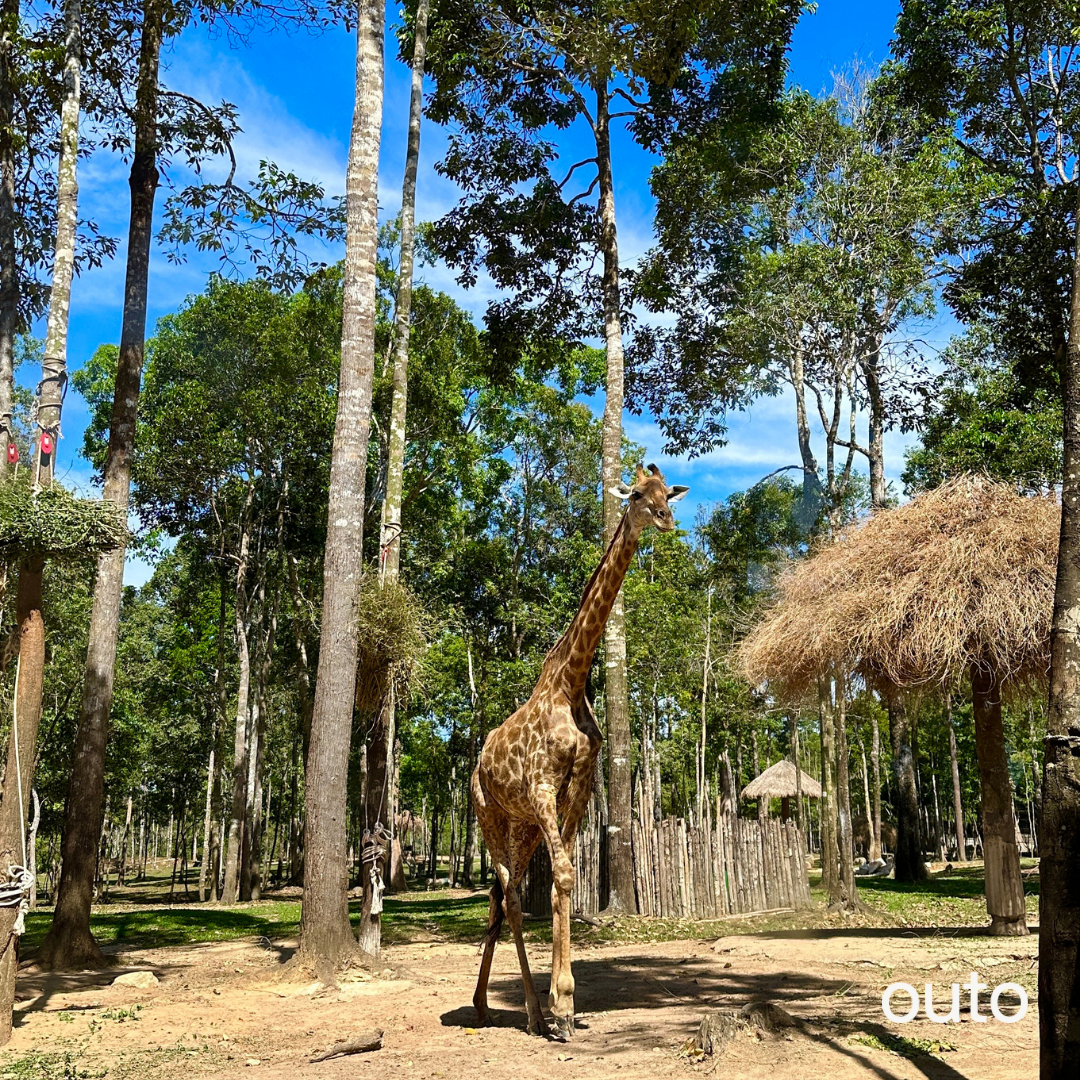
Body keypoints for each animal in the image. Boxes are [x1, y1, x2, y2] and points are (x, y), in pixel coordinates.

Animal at [473, 462, 691, 1036]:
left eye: (668, 491)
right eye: (635, 494)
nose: (665, 518)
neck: (572, 683)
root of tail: (477, 762)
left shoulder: (578, 790)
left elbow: (562, 881)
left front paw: (564, 1003)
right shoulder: (543, 786)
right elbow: (567, 877)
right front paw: (563, 1006)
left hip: (522, 827)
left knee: (501, 896)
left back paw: (484, 1004)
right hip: (489, 817)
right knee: (508, 893)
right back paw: (525, 1011)